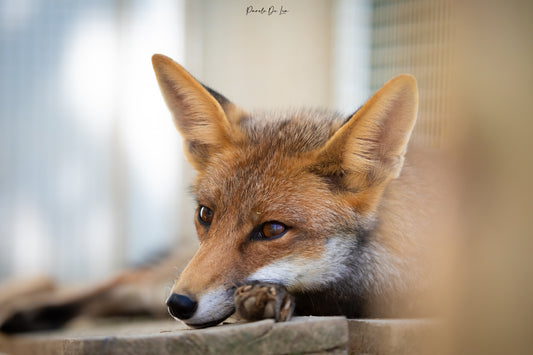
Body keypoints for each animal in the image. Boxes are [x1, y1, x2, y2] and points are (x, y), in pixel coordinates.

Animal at [0, 54, 450, 332]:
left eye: (272, 230)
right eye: (205, 214)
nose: (179, 305)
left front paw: (271, 298)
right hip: (162, 275)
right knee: (111, 283)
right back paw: (32, 312)